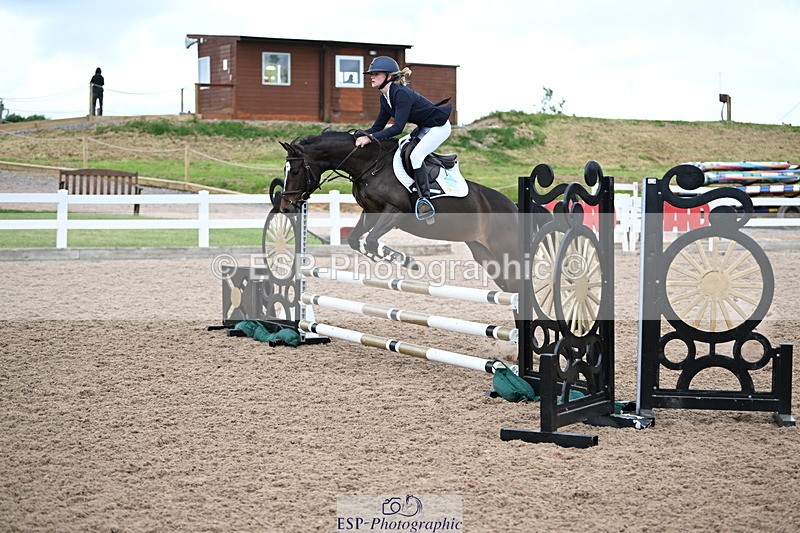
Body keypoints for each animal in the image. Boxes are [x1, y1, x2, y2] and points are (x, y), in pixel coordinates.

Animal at [278, 129, 547, 295]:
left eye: (295, 171)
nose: (285, 207)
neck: (371, 165)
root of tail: (514, 207)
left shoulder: (396, 211)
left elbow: (372, 239)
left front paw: (408, 262)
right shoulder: (371, 212)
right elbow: (356, 240)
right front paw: (381, 257)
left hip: (506, 251)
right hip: (485, 254)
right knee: (510, 287)